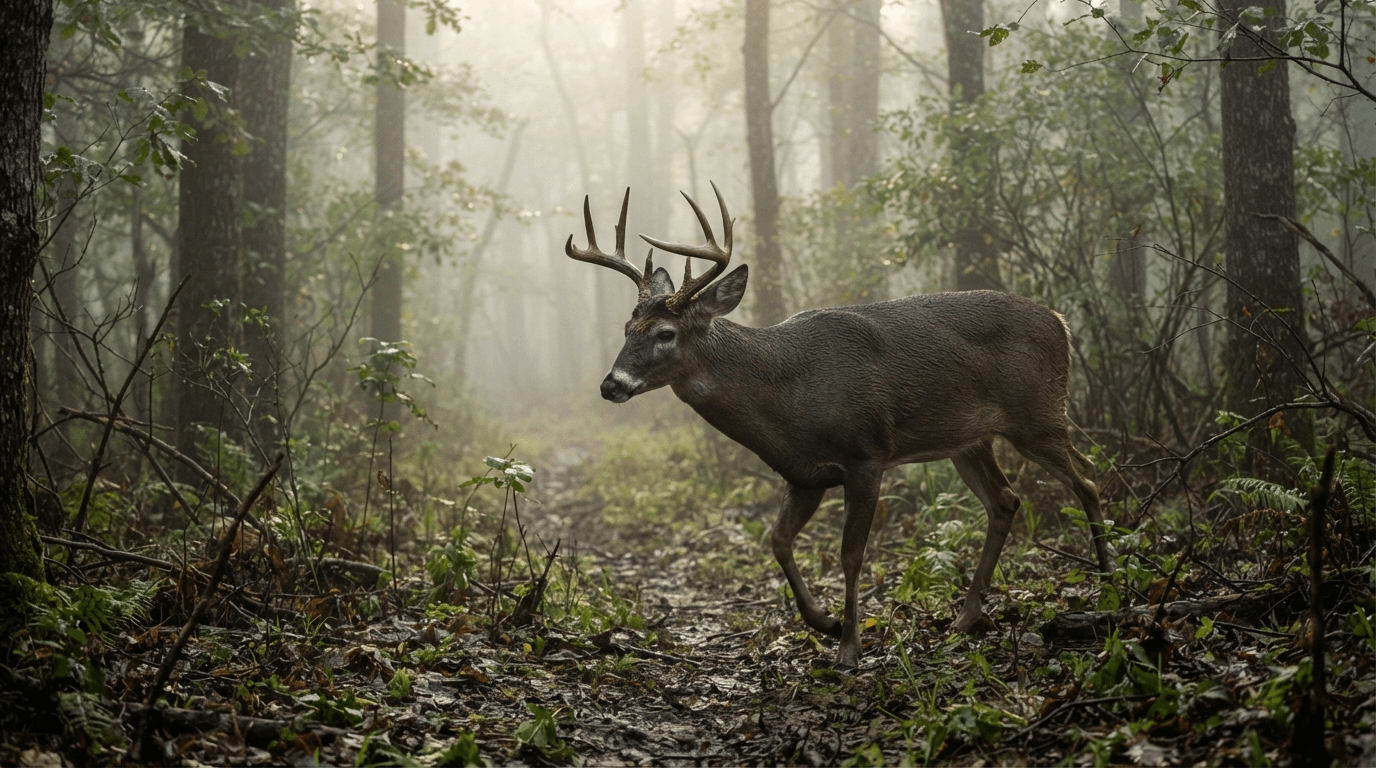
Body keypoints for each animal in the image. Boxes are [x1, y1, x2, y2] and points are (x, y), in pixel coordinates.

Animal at [565, 183, 1114, 668]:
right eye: (626, 328)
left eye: (665, 333)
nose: (610, 384)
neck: (787, 392)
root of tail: (1061, 322)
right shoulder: (805, 475)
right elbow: (778, 541)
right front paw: (825, 623)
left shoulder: (866, 453)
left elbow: (851, 554)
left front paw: (849, 648)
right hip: (969, 439)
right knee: (1005, 500)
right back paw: (966, 618)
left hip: (1038, 412)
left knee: (1087, 476)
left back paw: (1109, 583)